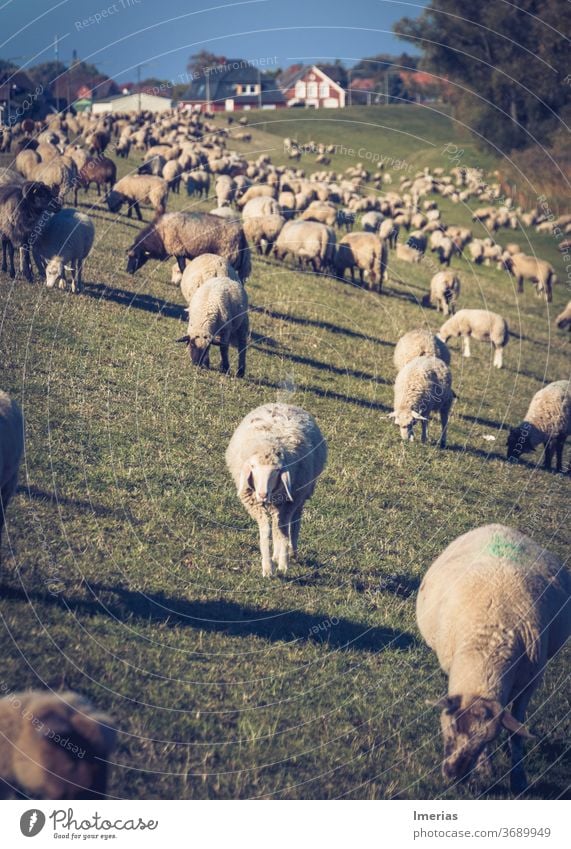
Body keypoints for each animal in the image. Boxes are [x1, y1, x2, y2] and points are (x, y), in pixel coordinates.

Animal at [227, 402, 328, 576]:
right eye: (253, 467)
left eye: (276, 471)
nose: (262, 494)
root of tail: (283, 404)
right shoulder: (255, 504)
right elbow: (267, 531)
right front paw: (268, 568)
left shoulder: (289, 502)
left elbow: (284, 531)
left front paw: (283, 564)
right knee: (276, 525)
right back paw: (275, 555)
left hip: (300, 497)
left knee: (294, 522)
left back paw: (292, 552)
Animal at [416, 524, 571, 796]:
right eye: (451, 726)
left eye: (488, 738)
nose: (453, 775)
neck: (488, 652)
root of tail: (497, 526)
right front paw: (486, 768)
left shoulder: (530, 683)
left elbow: (516, 732)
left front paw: (518, 778)